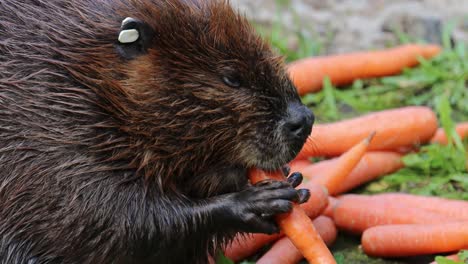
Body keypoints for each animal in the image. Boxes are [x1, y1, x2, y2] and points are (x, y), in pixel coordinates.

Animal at [0, 0, 314, 262]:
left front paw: (293, 178)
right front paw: (260, 200)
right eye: (232, 78)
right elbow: (105, 217)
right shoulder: (49, 130)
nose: (304, 119)